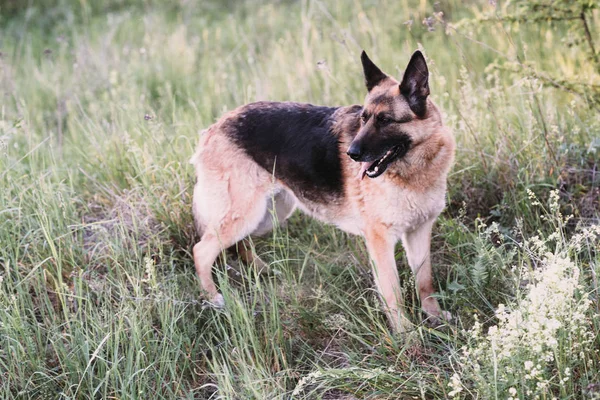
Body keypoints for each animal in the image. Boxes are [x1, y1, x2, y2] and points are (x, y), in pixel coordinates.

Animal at [192, 50, 454, 332]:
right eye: (363, 118)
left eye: (385, 121)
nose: (351, 153)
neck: (414, 169)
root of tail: (214, 127)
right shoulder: (380, 241)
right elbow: (393, 293)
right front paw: (406, 334)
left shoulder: (420, 231)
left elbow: (425, 281)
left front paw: (434, 316)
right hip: (246, 214)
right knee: (202, 250)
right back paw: (213, 298)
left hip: (269, 214)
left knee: (239, 244)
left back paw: (263, 271)